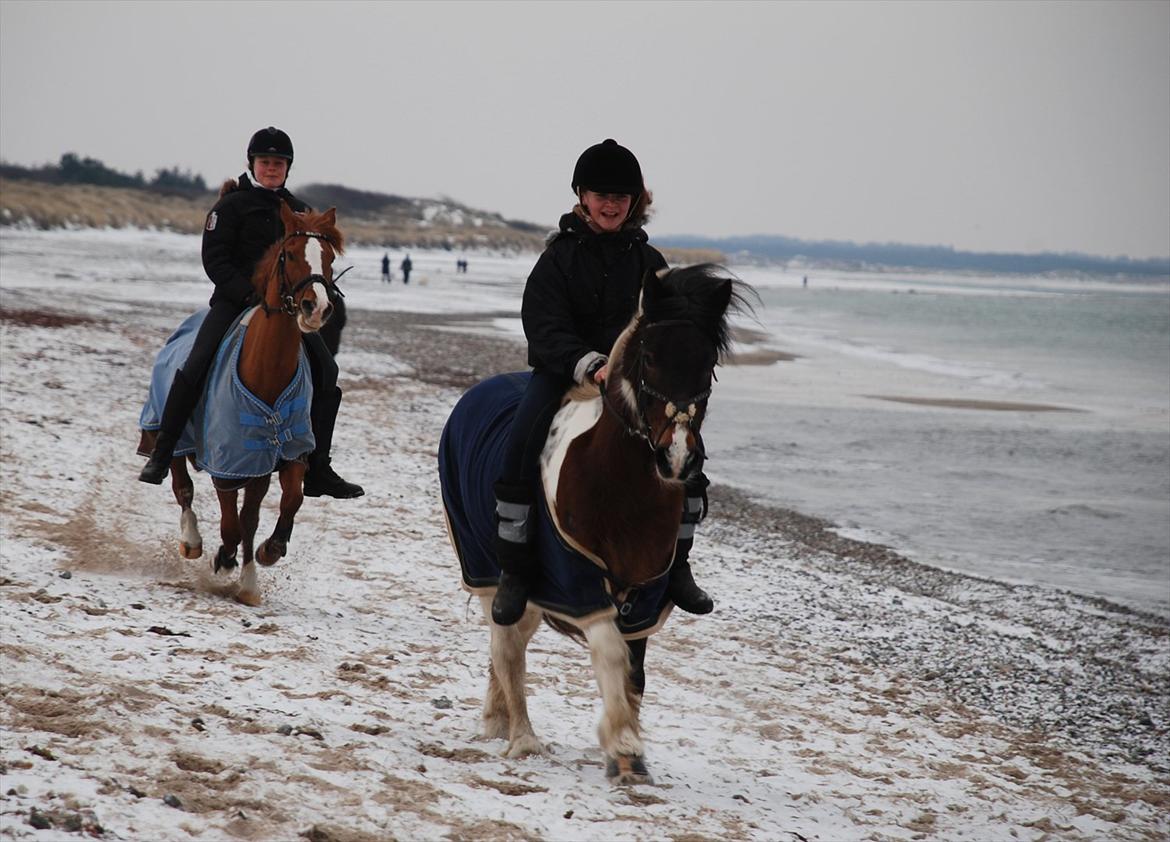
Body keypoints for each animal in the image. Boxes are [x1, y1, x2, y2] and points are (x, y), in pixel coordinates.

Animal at [139, 202, 343, 603]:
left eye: (328, 258)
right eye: (288, 254)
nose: (317, 308)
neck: (267, 370)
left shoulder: (285, 454)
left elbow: (285, 503)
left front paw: (265, 555)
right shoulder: (228, 462)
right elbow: (231, 523)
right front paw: (227, 561)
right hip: (171, 435)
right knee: (181, 483)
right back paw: (192, 540)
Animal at [442, 263, 753, 781]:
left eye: (708, 361)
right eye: (650, 356)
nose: (678, 458)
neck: (621, 490)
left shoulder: (645, 592)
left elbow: (635, 672)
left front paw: (632, 755)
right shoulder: (578, 581)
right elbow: (610, 653)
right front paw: (623, 743)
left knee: (510, 642)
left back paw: (497, 720)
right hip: (489, 572)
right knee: (507, 646)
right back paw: (521, 737)